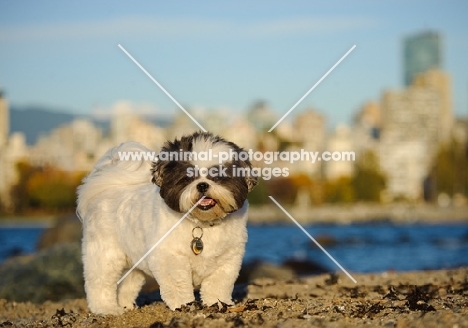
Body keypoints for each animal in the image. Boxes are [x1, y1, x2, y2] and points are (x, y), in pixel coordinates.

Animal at [78, 132, 258, 314]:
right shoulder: (170, 258)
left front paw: (219, 303)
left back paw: (126, 305)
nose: (202, 185)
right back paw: (107, 308)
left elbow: (218, 285)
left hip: (134, 261)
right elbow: (178, 284)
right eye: (187, 178)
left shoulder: (227, 260)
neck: (202, 223)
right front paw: (183, 304)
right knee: (100, 282)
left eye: (218, 176)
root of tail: (107, 188)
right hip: (105, 254)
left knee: (128, 283)